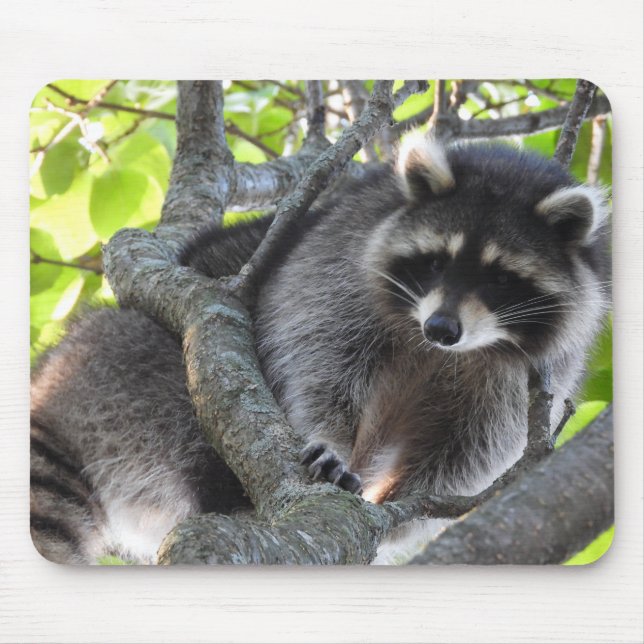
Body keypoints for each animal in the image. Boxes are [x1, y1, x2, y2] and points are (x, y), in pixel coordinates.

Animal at [30, 135, 610, 564]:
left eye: (498, 278)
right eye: (436, 262)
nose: (442, 328)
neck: (439, 351)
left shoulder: (536, 371)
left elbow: (473, 450)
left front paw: (402, 499)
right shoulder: (337, 259)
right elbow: (316, 359)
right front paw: (330, 440)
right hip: (127, 367)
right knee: (191, 408)